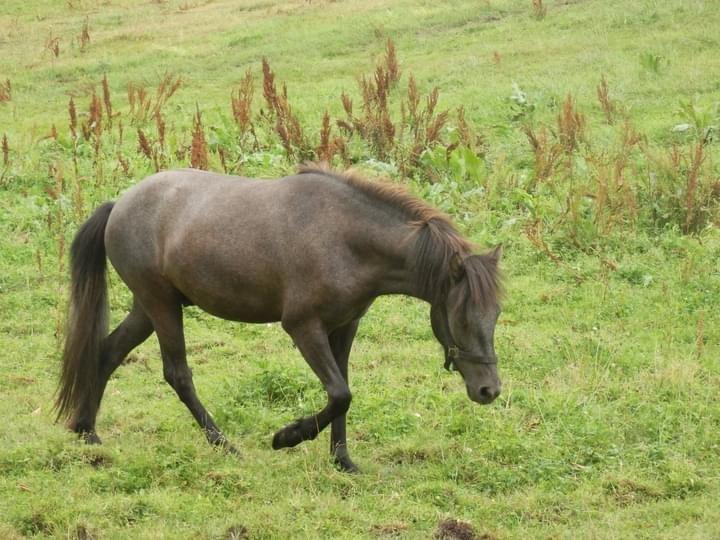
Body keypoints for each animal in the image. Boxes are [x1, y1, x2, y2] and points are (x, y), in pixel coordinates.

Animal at [56, 165, 504, 472]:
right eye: (462, 317)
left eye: (496, 313)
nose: (489, 390)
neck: (347, 239)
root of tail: (119, 204)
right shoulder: (304, 327)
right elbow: (340, 394)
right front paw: (286, 437)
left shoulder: (345, 327)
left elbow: (343, 393)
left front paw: (342, 461)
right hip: (161, 305)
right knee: (177, 374)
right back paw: (224, 445)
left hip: (149, 308)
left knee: (107, 353)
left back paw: (87, 431)